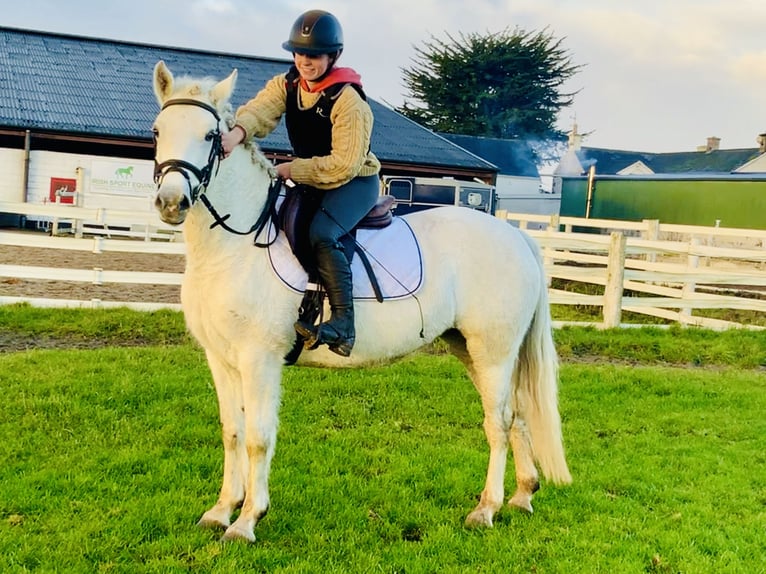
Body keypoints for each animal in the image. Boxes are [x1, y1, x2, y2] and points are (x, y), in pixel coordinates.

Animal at [152, 60, 568, 544]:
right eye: (158, 130)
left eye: (209, 136)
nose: (171, 203)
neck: (235, 245)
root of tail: (517, 235)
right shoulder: (222, 359)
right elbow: (232, 432)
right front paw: (221, 511)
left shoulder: (260, 360)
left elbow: (258, 437)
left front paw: (247, 520)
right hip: (473, 349)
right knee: (516, 414)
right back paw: (522, 496)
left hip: (494, 351)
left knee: (497, 422)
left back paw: (487, 509)